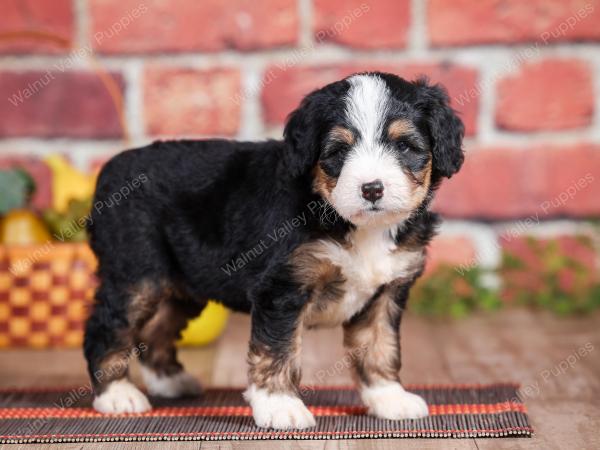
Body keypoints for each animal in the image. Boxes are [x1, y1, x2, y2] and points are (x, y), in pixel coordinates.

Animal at [83, 70, 464, 428]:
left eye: (405, 146)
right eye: (339, 151)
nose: (372, 188)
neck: (347, 221)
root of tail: (110, 170)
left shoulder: (384, 294)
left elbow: (379, 345)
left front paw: (389, 398)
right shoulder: (282, 287)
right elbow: (278, 349)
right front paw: (281, 406)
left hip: (182, 286)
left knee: (155, 330)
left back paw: (170, 381)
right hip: (137, 275)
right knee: (106, 327)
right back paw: (117, 394)